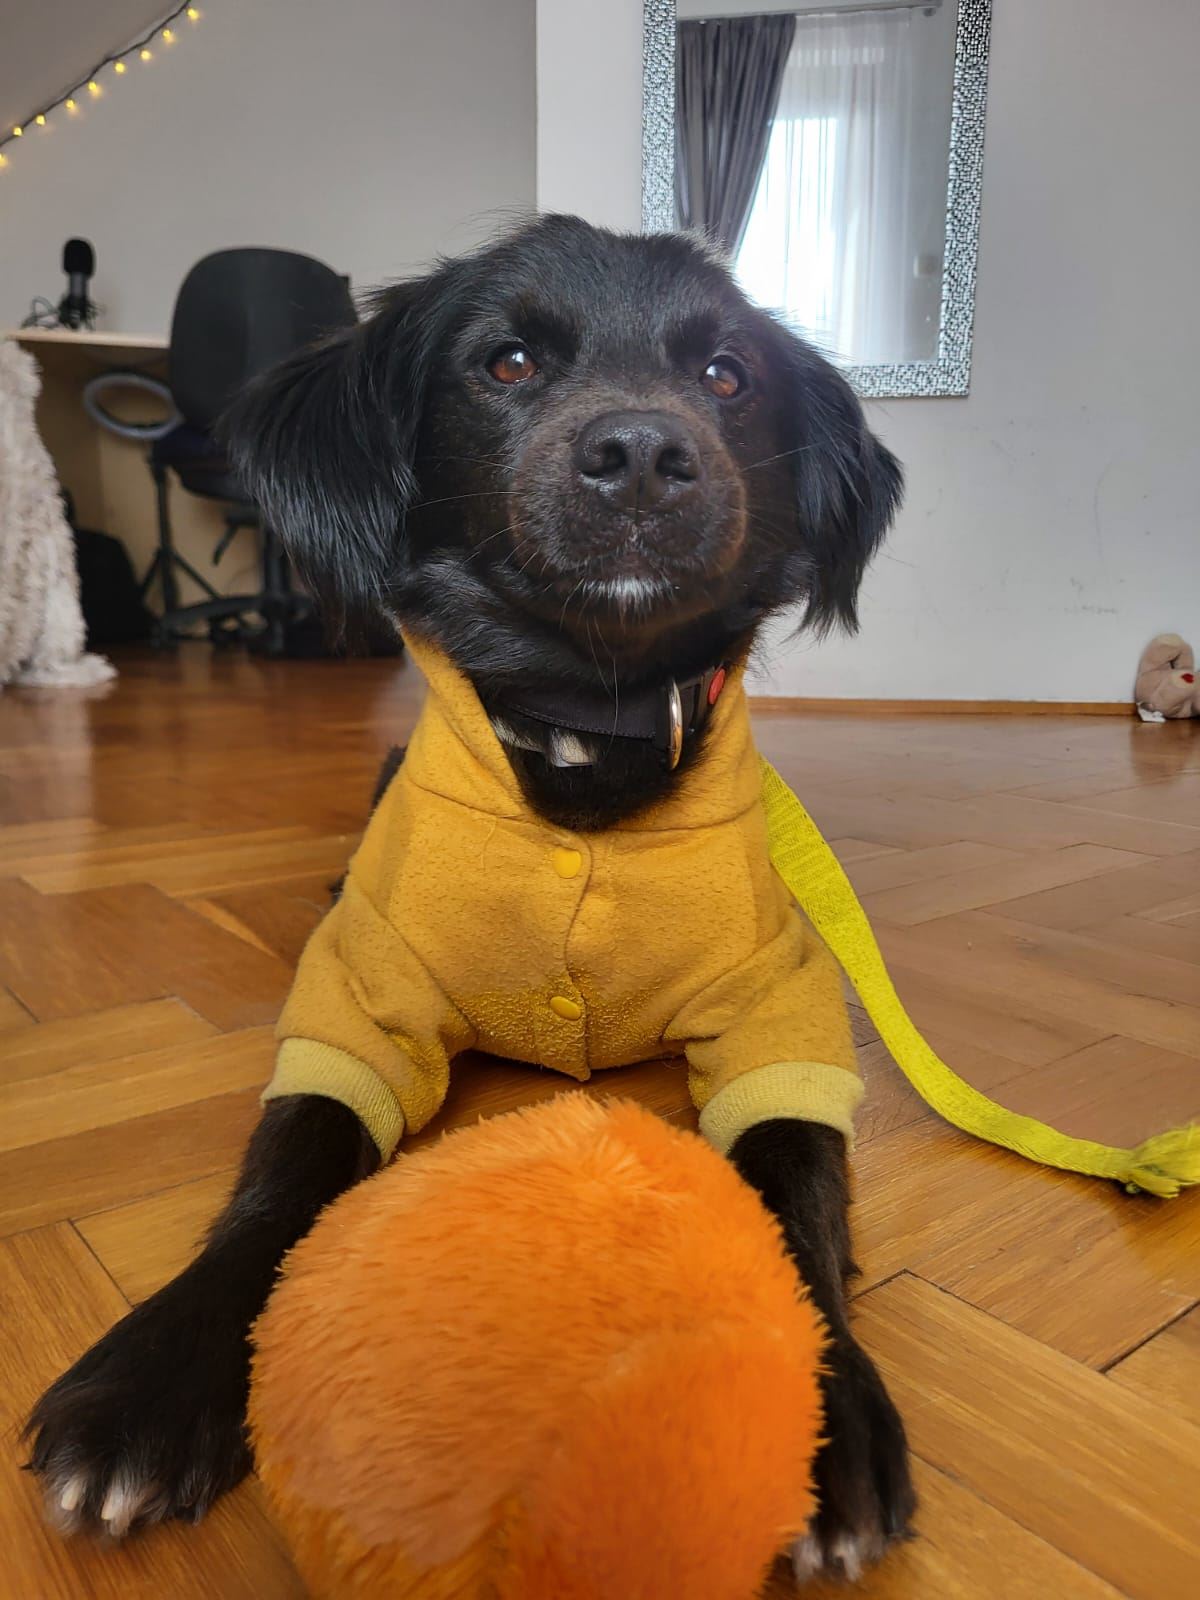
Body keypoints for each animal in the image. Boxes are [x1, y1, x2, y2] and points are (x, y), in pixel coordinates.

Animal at [27, 215, 913, 1581]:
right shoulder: (359, 996)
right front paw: (153, 1377)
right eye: (507, 362)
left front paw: (818, 1410)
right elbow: (281, 1172)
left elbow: (798, 1185)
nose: (645, 454)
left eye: (726, 378)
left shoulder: (784, 1009)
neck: (589, 725)